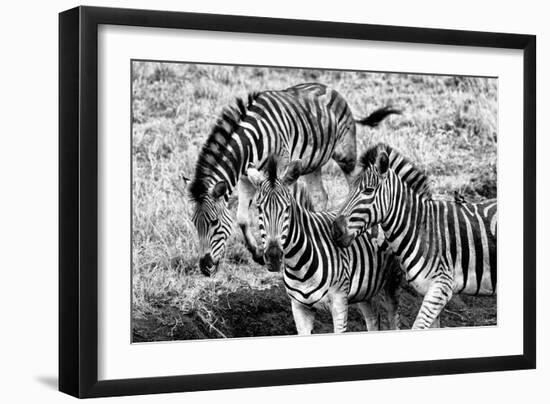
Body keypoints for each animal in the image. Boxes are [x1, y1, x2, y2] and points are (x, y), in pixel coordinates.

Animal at [190, 83, 402, 276]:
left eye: (214, 222)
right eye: (194, 223)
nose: (205, 267)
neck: (250, 142)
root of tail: (332, 89)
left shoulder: (280, 170)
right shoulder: (245, 177)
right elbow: (241, 218)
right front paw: (257, 253)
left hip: (345, 155)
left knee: (354, 186)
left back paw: (370, 233)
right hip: (313, 164)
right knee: (320, 196)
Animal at [248, 155, 404, 334]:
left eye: (287, 209)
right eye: (259, 209)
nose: (273, 257)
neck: (298, 265)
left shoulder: (339, 302)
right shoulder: (299, 307)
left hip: (393, 281)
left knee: (394, 320)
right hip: (366, 290)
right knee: (372, 320)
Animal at [332, 144, 500, 330]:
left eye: (368, 191)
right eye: (349, 191)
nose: (335, 231)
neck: (421, 229)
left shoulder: (441, 287)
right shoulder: (429, 290)